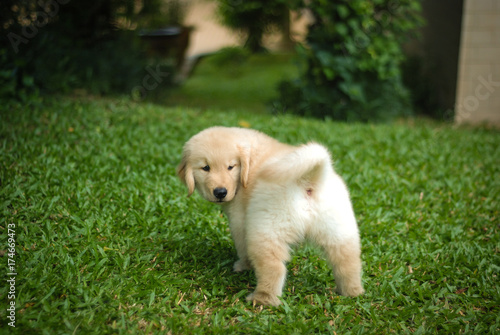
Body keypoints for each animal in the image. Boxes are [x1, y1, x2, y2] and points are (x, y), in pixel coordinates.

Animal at [178, 126, 366, 308]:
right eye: (205, 168)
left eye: (231, 167)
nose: (220, 192)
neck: (248, 163)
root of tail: (308, 180)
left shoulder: (239, 220)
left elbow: (242, 247)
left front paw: (243, 266)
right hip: (340, 230)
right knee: (347, 262)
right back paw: (352, 292)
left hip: (267, 230)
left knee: (274, 268)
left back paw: (262, 299)